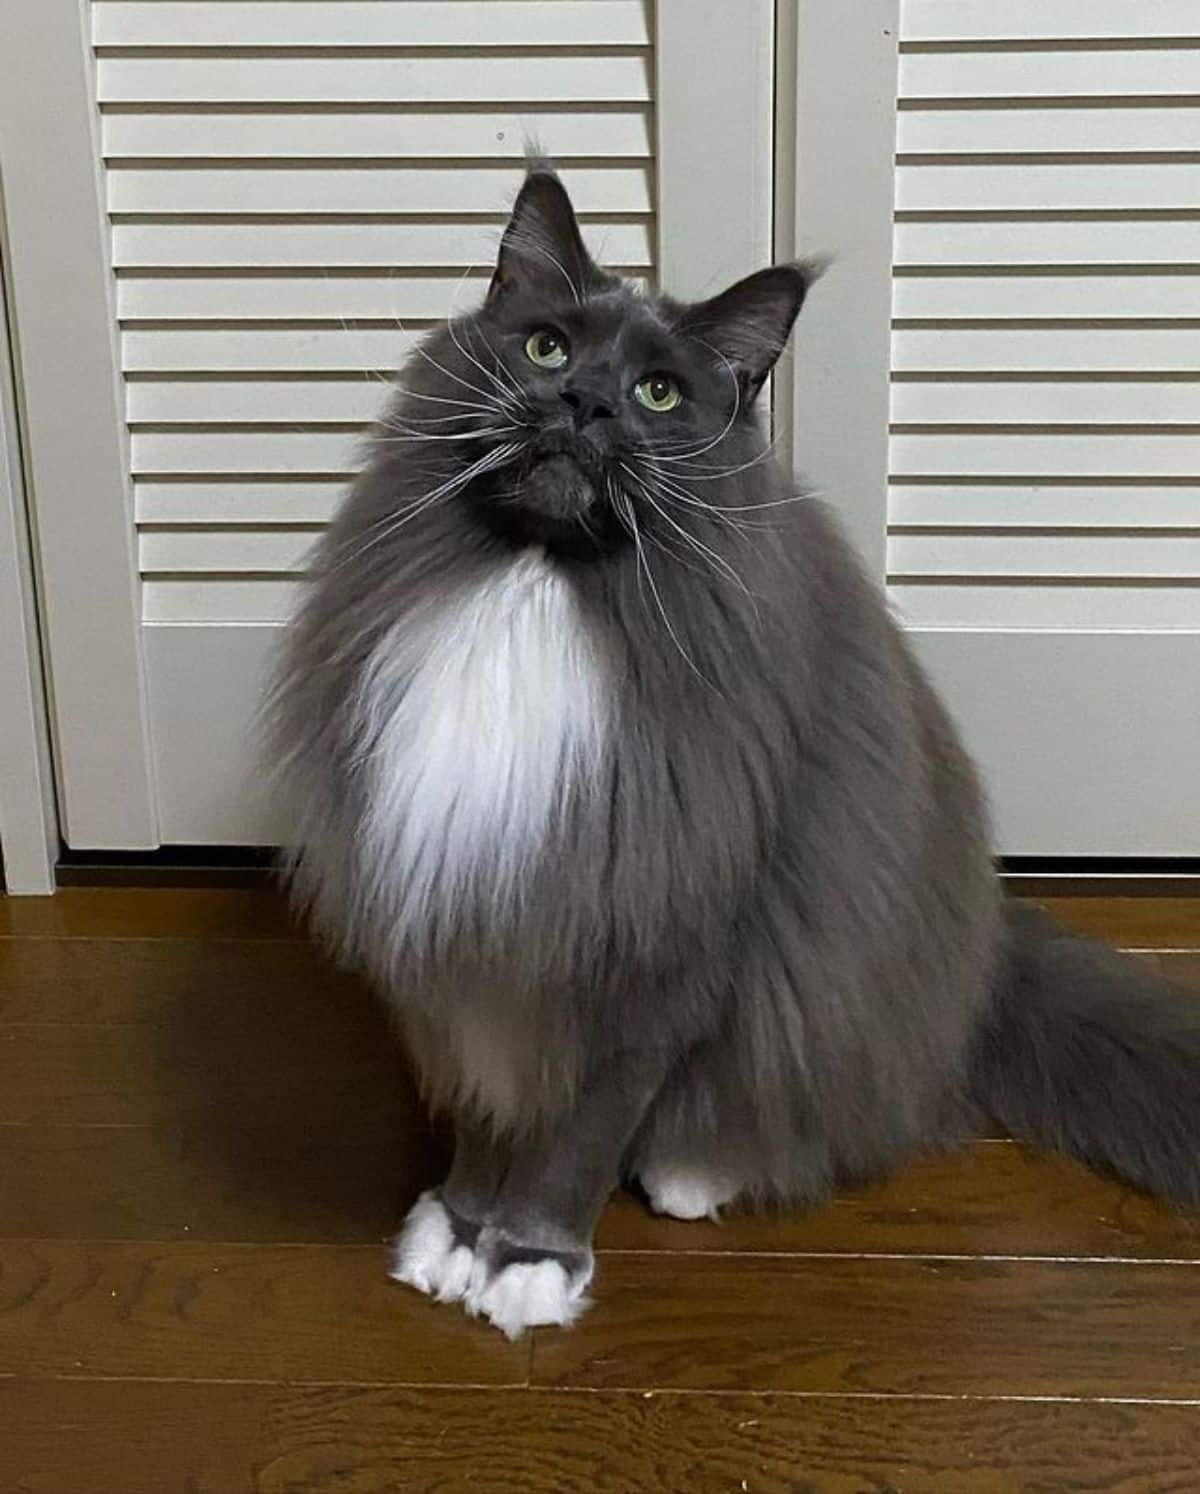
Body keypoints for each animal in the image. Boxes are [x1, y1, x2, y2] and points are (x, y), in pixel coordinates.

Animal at [270, 166, 1200, 1344]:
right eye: (547, 350)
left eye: (661, 395)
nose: (586, 405)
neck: (536, 593)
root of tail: (987, 956)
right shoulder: (473, 919)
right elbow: (492, 1107)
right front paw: (459, 1229)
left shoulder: (654, 938)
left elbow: (580, 1135)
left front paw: (528, 1262)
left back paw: (689, 1175)